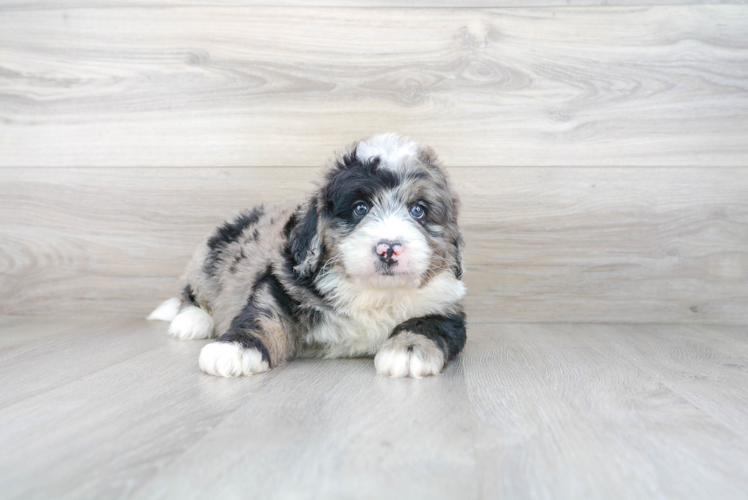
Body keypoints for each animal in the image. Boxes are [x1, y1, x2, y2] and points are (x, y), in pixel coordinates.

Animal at [148, 134, 468, 378]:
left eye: (418, 210)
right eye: (360, 209)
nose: (388, 248)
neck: (374, 292)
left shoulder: (445, 304)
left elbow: (427, 323)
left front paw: (408, 351)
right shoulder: (281, 286)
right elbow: (263, 318)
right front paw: (234, 349)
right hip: (212, 255)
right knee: (192, 291)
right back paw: (191, 320)